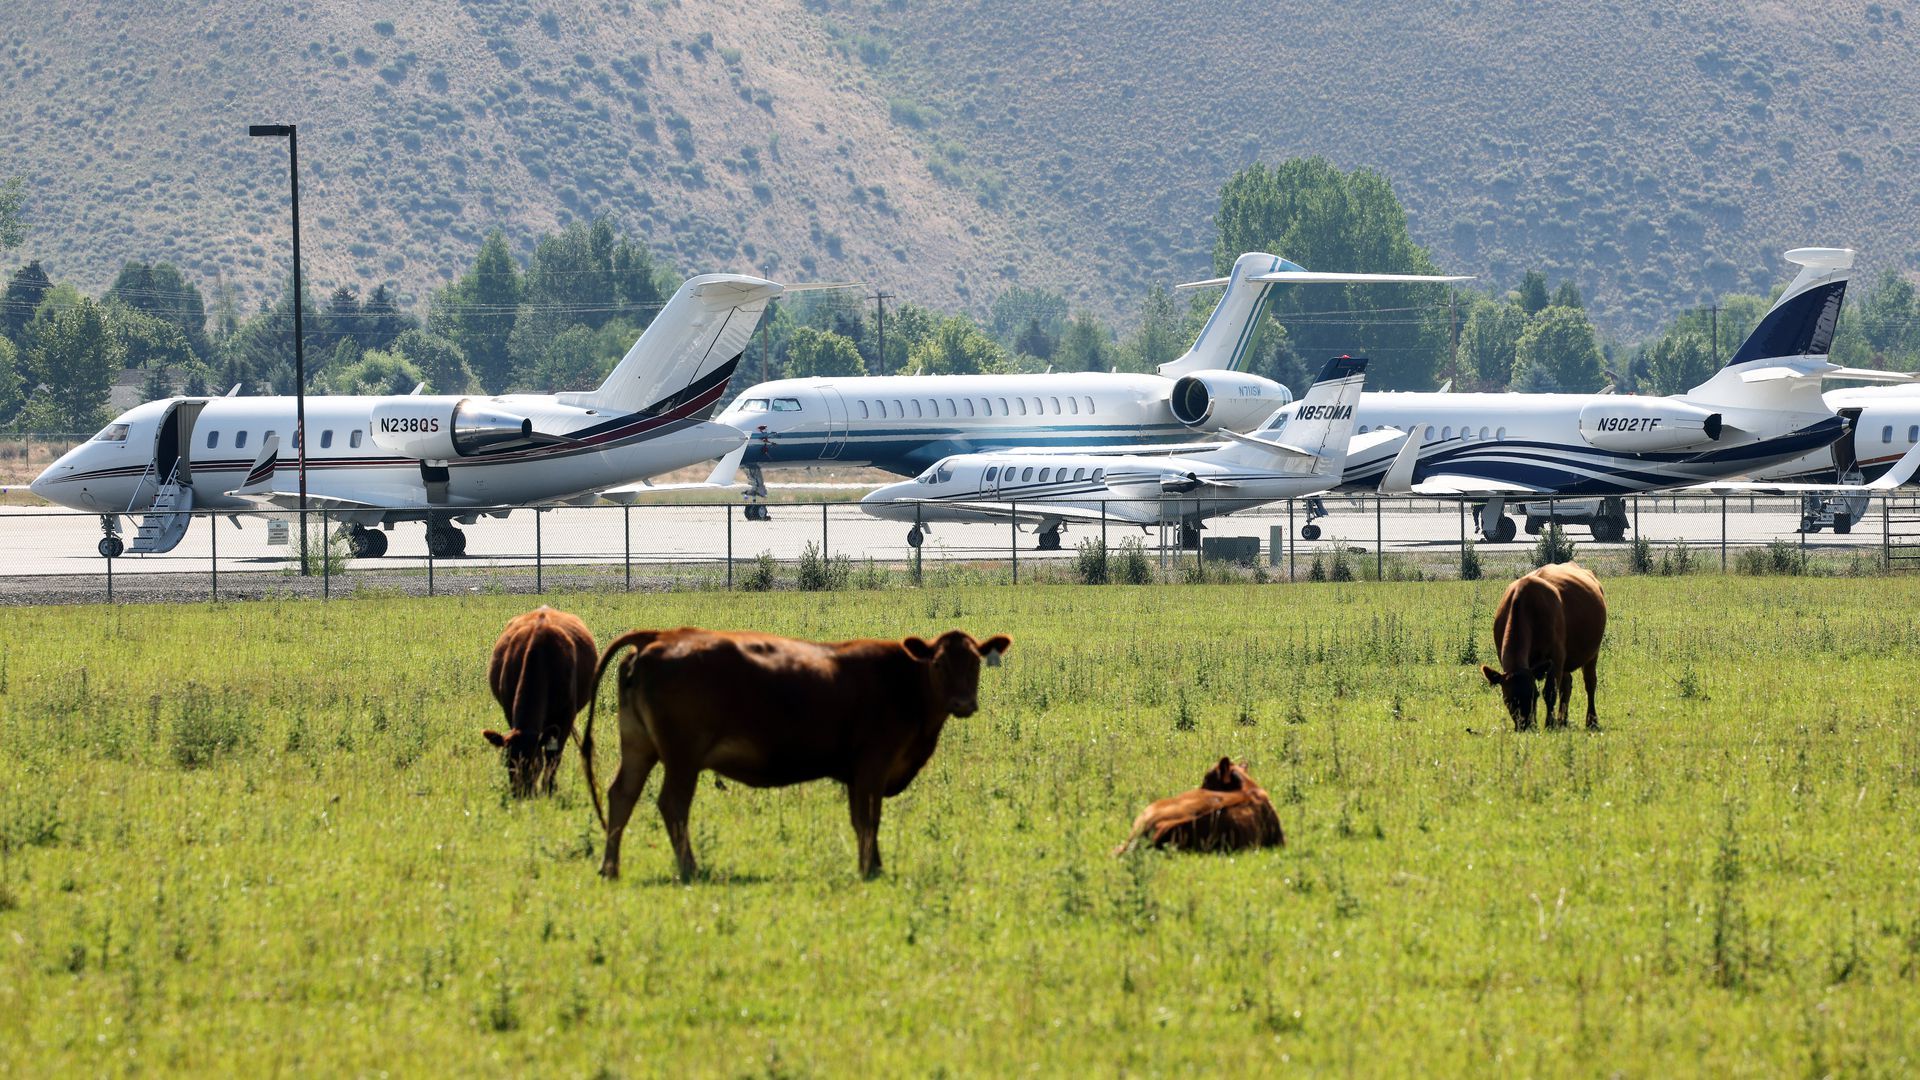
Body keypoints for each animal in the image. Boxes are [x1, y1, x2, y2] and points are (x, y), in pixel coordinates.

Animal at [483, 599, 595, 795]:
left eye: (534, 764)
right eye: (507, 762)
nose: (520, 795)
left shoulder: (565, 718)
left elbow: (553, 757)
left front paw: (549, 789)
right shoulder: (509, 710)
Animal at [579, 626, 1006, 880]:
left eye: (975, 663)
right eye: (939, 663)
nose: (964, 703)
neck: (904, 682)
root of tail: (660, 637)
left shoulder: (861, 774)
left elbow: (864, 821)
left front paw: (875, 865)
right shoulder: (872, 766)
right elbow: (868, 820)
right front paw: (870, 869)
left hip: (639, 746)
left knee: (622, 795)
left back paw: (610, 867)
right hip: (682, 757)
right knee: (672, 805)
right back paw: (690, 869)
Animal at [1482, 557, 1605, 726]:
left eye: (1534, 695)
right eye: (1508, 699)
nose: (1526, 725)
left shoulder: (1556, 656)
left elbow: (1550, 691)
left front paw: (1549, 724)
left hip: (1592, 652)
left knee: (1590, 683)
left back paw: (1591, 720)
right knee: (1566, 685)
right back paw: (1562, 720)